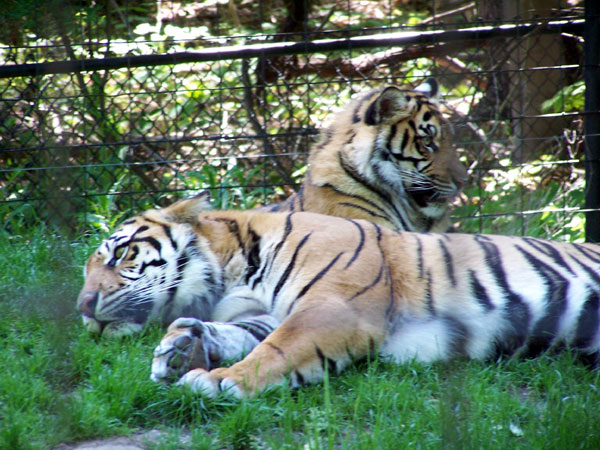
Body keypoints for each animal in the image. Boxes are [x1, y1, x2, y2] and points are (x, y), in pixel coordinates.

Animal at [76, 194, 600, 398]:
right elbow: (240, 334)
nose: (82, 307)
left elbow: (276, 351)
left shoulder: (333, 308)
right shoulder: (264, 314)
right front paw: (182, 348)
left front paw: (221, 381)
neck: (230, 273)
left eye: (120, 253)